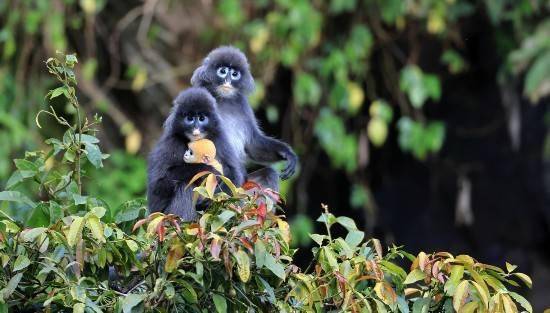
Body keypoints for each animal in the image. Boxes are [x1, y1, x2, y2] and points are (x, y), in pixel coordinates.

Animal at [192, 45, 300, 189]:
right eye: (223, 71)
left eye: (234, 74)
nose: (228, 81)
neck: (223, 99)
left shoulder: (242, 103)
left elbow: (252, 145)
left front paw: (287, 153)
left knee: (269, 174)